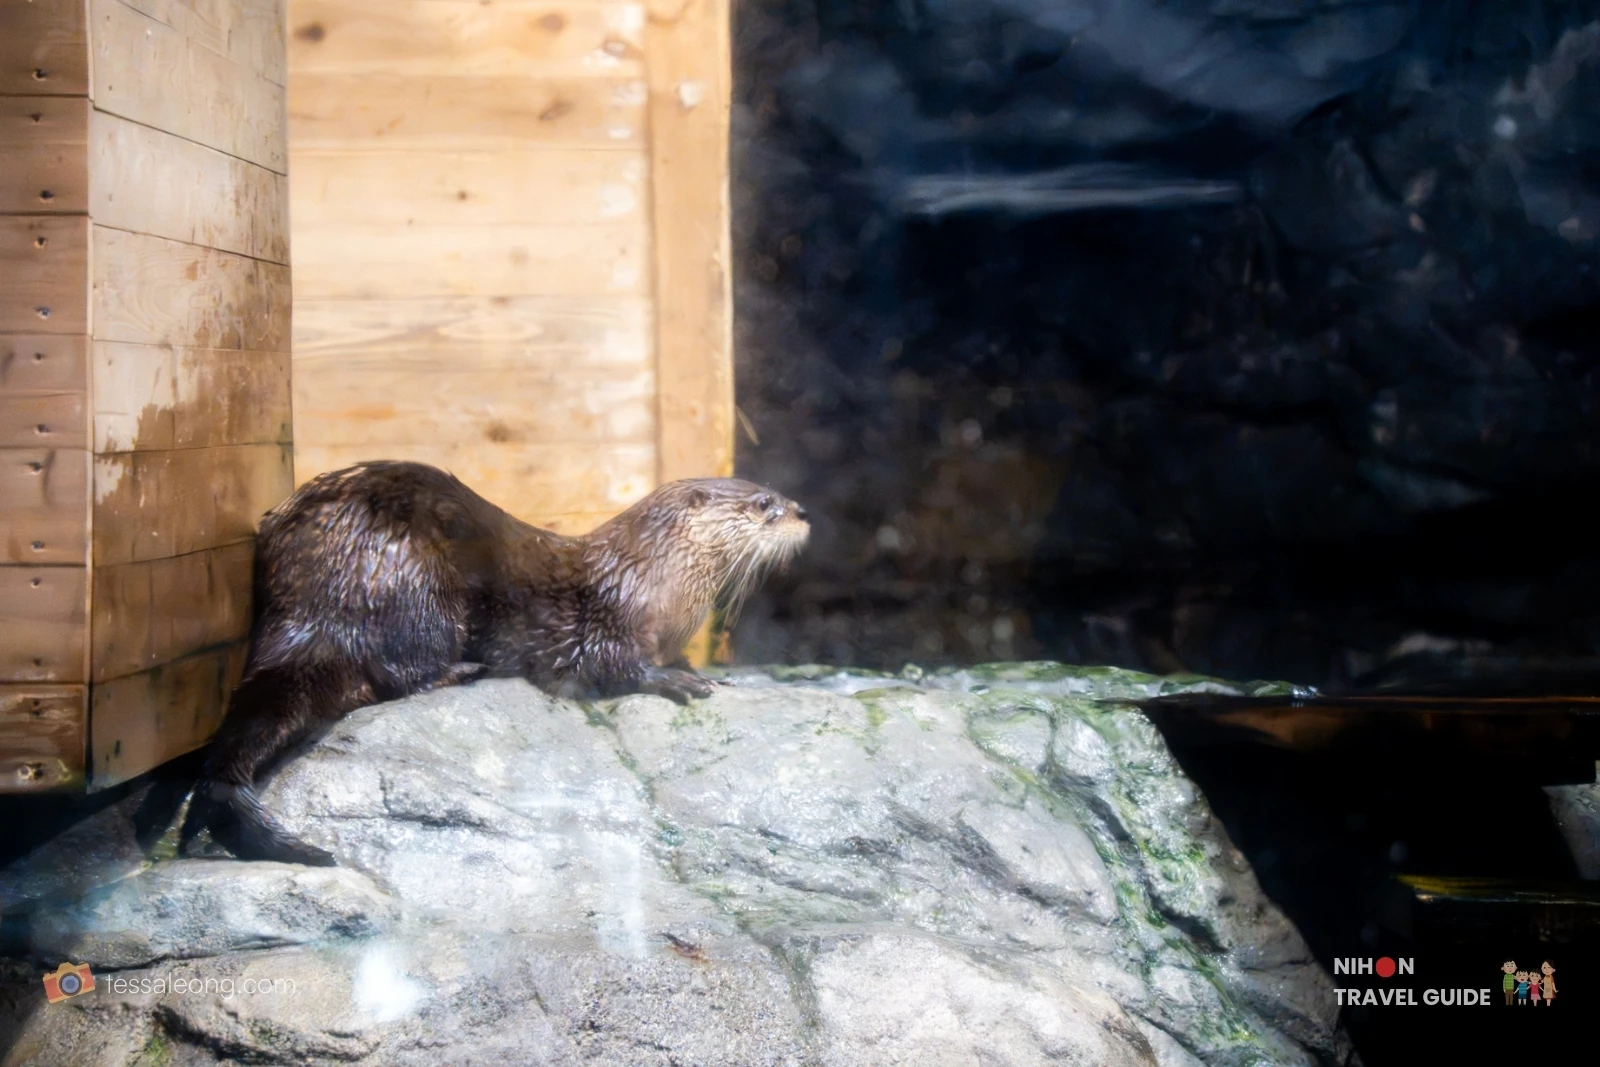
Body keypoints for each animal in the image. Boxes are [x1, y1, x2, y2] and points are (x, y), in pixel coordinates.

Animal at [179, 461, 810, 866]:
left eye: (774, 492)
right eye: (763, 505)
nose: (802, 510)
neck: (653, 584)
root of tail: (312, 603)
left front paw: (705, 672)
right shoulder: (604, 625)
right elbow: (612, 667)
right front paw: (676, 680)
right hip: (418, 587)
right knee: (396, 673)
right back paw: (462, 671)